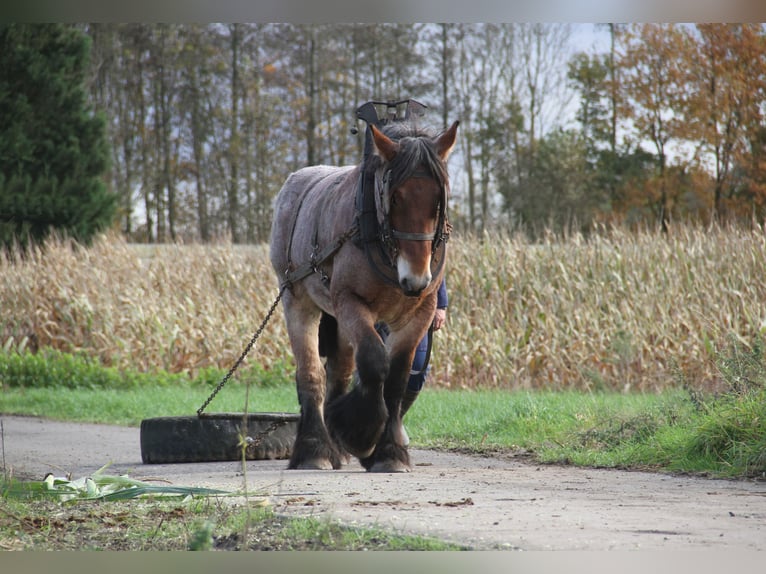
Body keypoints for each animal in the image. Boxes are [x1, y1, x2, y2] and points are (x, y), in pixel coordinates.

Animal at [270, 104, 460, 472]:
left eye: (439, 198)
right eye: (394, 198)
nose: (416, 279)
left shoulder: (421, 311)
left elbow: (397, 377)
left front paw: (389, 451)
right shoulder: (350, 302)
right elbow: (374, 361)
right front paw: (360, 433)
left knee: (339, 373)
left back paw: (335, 446)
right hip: (298, 301)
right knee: (311, 375)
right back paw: (314, 449)